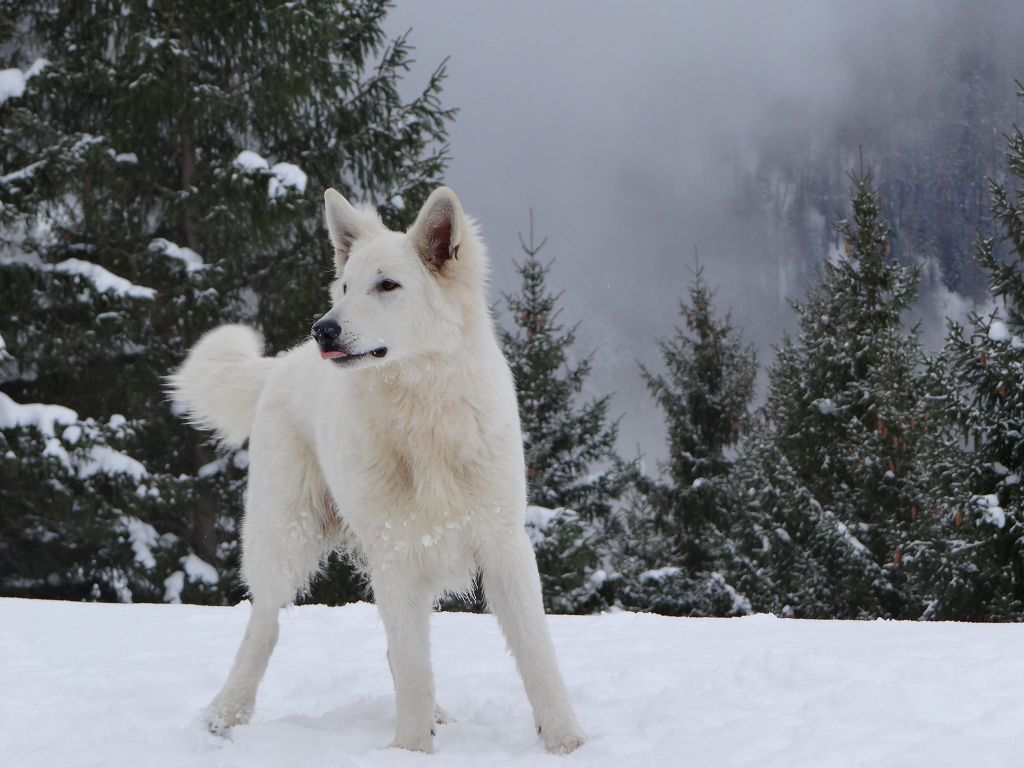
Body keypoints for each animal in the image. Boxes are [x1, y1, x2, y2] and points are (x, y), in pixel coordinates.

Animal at [170, 186, 585, 754]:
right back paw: (226, 713)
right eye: (345, 287)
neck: (423, 412)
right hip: (286, 535)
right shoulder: (397, 553)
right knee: (265, 623)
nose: (323, 328)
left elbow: (536, 653)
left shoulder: (501, 544)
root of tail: (282, 363)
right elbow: (412, 666)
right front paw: (410, 751)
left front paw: (567, 743)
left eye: (387, 285)